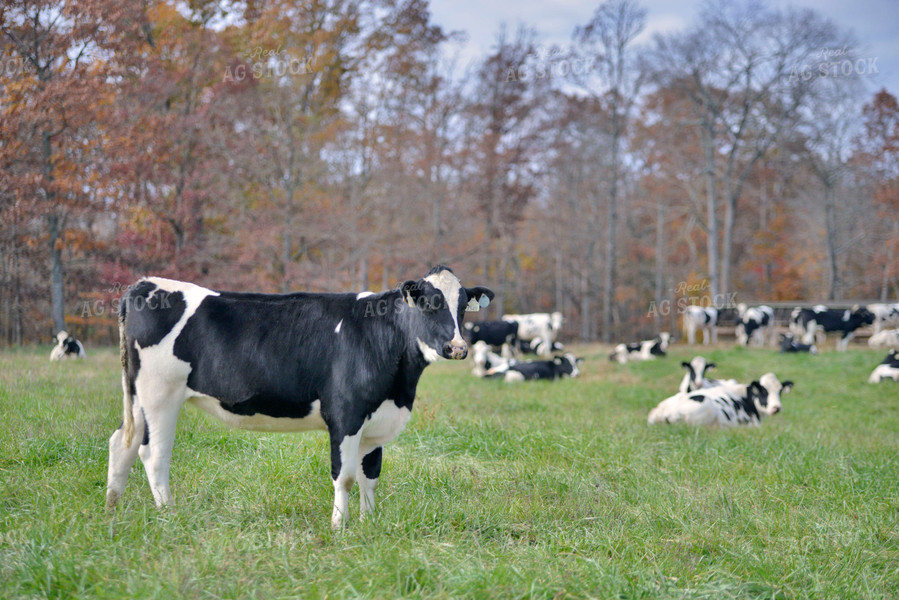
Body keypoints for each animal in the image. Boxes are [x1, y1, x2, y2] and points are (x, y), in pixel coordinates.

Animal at [110, 264, 500, 528]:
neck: (400, 386)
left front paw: (369, 524)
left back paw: (112, 507)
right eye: (429, 304)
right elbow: (345, 475)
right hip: (160, 394)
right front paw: (339, 527)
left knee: (122, 442)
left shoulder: (376, 419)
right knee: (153, 454)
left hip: (138, 396)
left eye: (462, 307)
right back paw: (169, 514)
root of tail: (145, 284)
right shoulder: (345, 413)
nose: (457, 347)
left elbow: (370, 475)